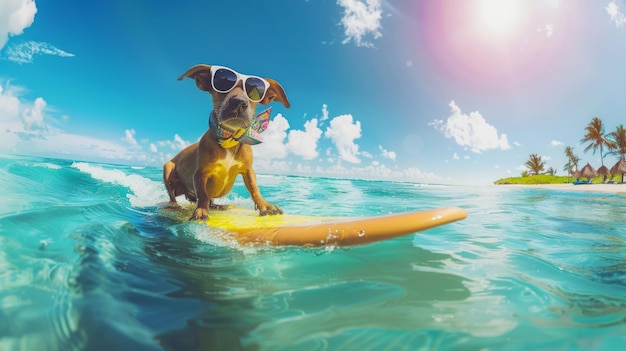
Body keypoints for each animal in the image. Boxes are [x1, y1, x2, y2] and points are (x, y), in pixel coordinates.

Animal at [161, 64, 288, 220]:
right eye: (222, 82)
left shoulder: (248, 171)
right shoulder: (199, 174)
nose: (239, 102)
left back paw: (216, 206)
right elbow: (202, 195)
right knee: (173, 198)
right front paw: (201, 210)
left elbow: (254, 189)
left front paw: (265, 205)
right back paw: (176, 207)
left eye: (254, 91)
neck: (229, 140)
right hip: (168, 167)